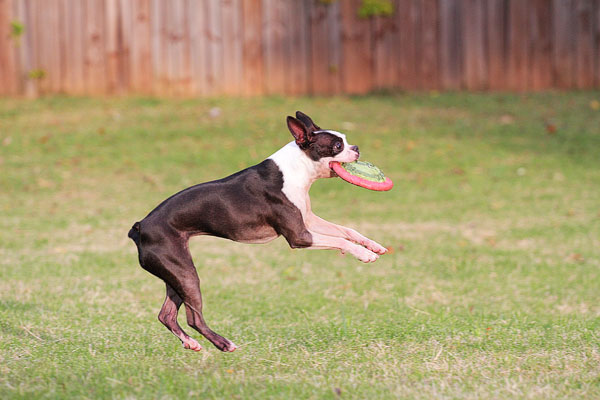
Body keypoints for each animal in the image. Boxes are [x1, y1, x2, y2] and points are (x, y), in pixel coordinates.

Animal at [129, 111, 386, 352]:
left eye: (345, 140)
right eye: (337, 146)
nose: (356, 148)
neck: (297, 169)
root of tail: (141, 226)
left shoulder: (308, 221)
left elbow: (347, 230)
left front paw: (373, 245)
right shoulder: (300, 236)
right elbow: (340, 240)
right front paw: (364, 254)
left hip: (175, 275)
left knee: (166, 314)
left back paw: (191, 343)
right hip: (186, 274)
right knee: (194, 318)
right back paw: (224, 344)